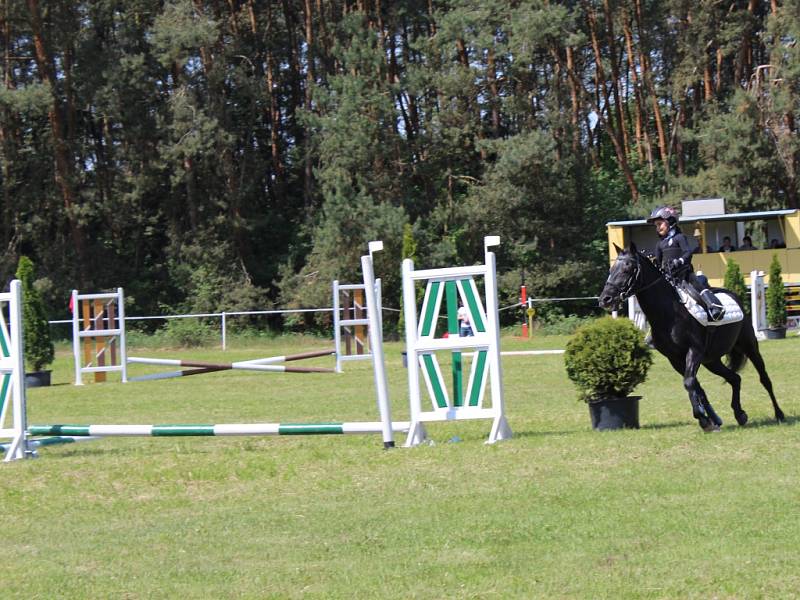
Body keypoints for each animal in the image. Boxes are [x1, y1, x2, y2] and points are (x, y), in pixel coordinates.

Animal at [596, 244, 784, 432]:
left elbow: (689, 383)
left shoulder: (694, 351)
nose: (605, 299)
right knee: (734, 378)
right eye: (611, 270)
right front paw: (711, 421)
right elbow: (696, 386)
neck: (669, 313)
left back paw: (779, 414)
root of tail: (734, 296)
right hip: (711, 361)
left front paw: (703, 418)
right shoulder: (675, 359)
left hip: (749, 347)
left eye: (627, 269)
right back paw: (740, 414)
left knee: (764, 379)